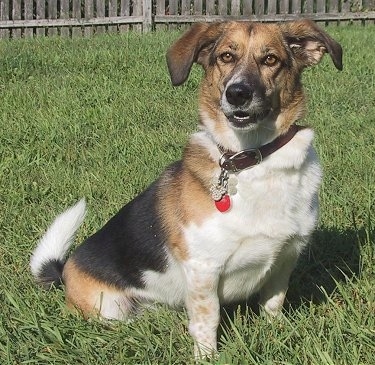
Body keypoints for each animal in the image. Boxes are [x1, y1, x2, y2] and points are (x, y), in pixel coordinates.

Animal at [30, 19, 344, 356]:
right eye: (226, 57)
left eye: (270, 59)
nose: (237, 93)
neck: (254, 161)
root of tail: (64, 271)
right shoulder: (203, 269)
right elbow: (208, 319)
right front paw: (208, 357)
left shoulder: (285, 259)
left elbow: (274, 303)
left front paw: (276, 337)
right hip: (110, 308)